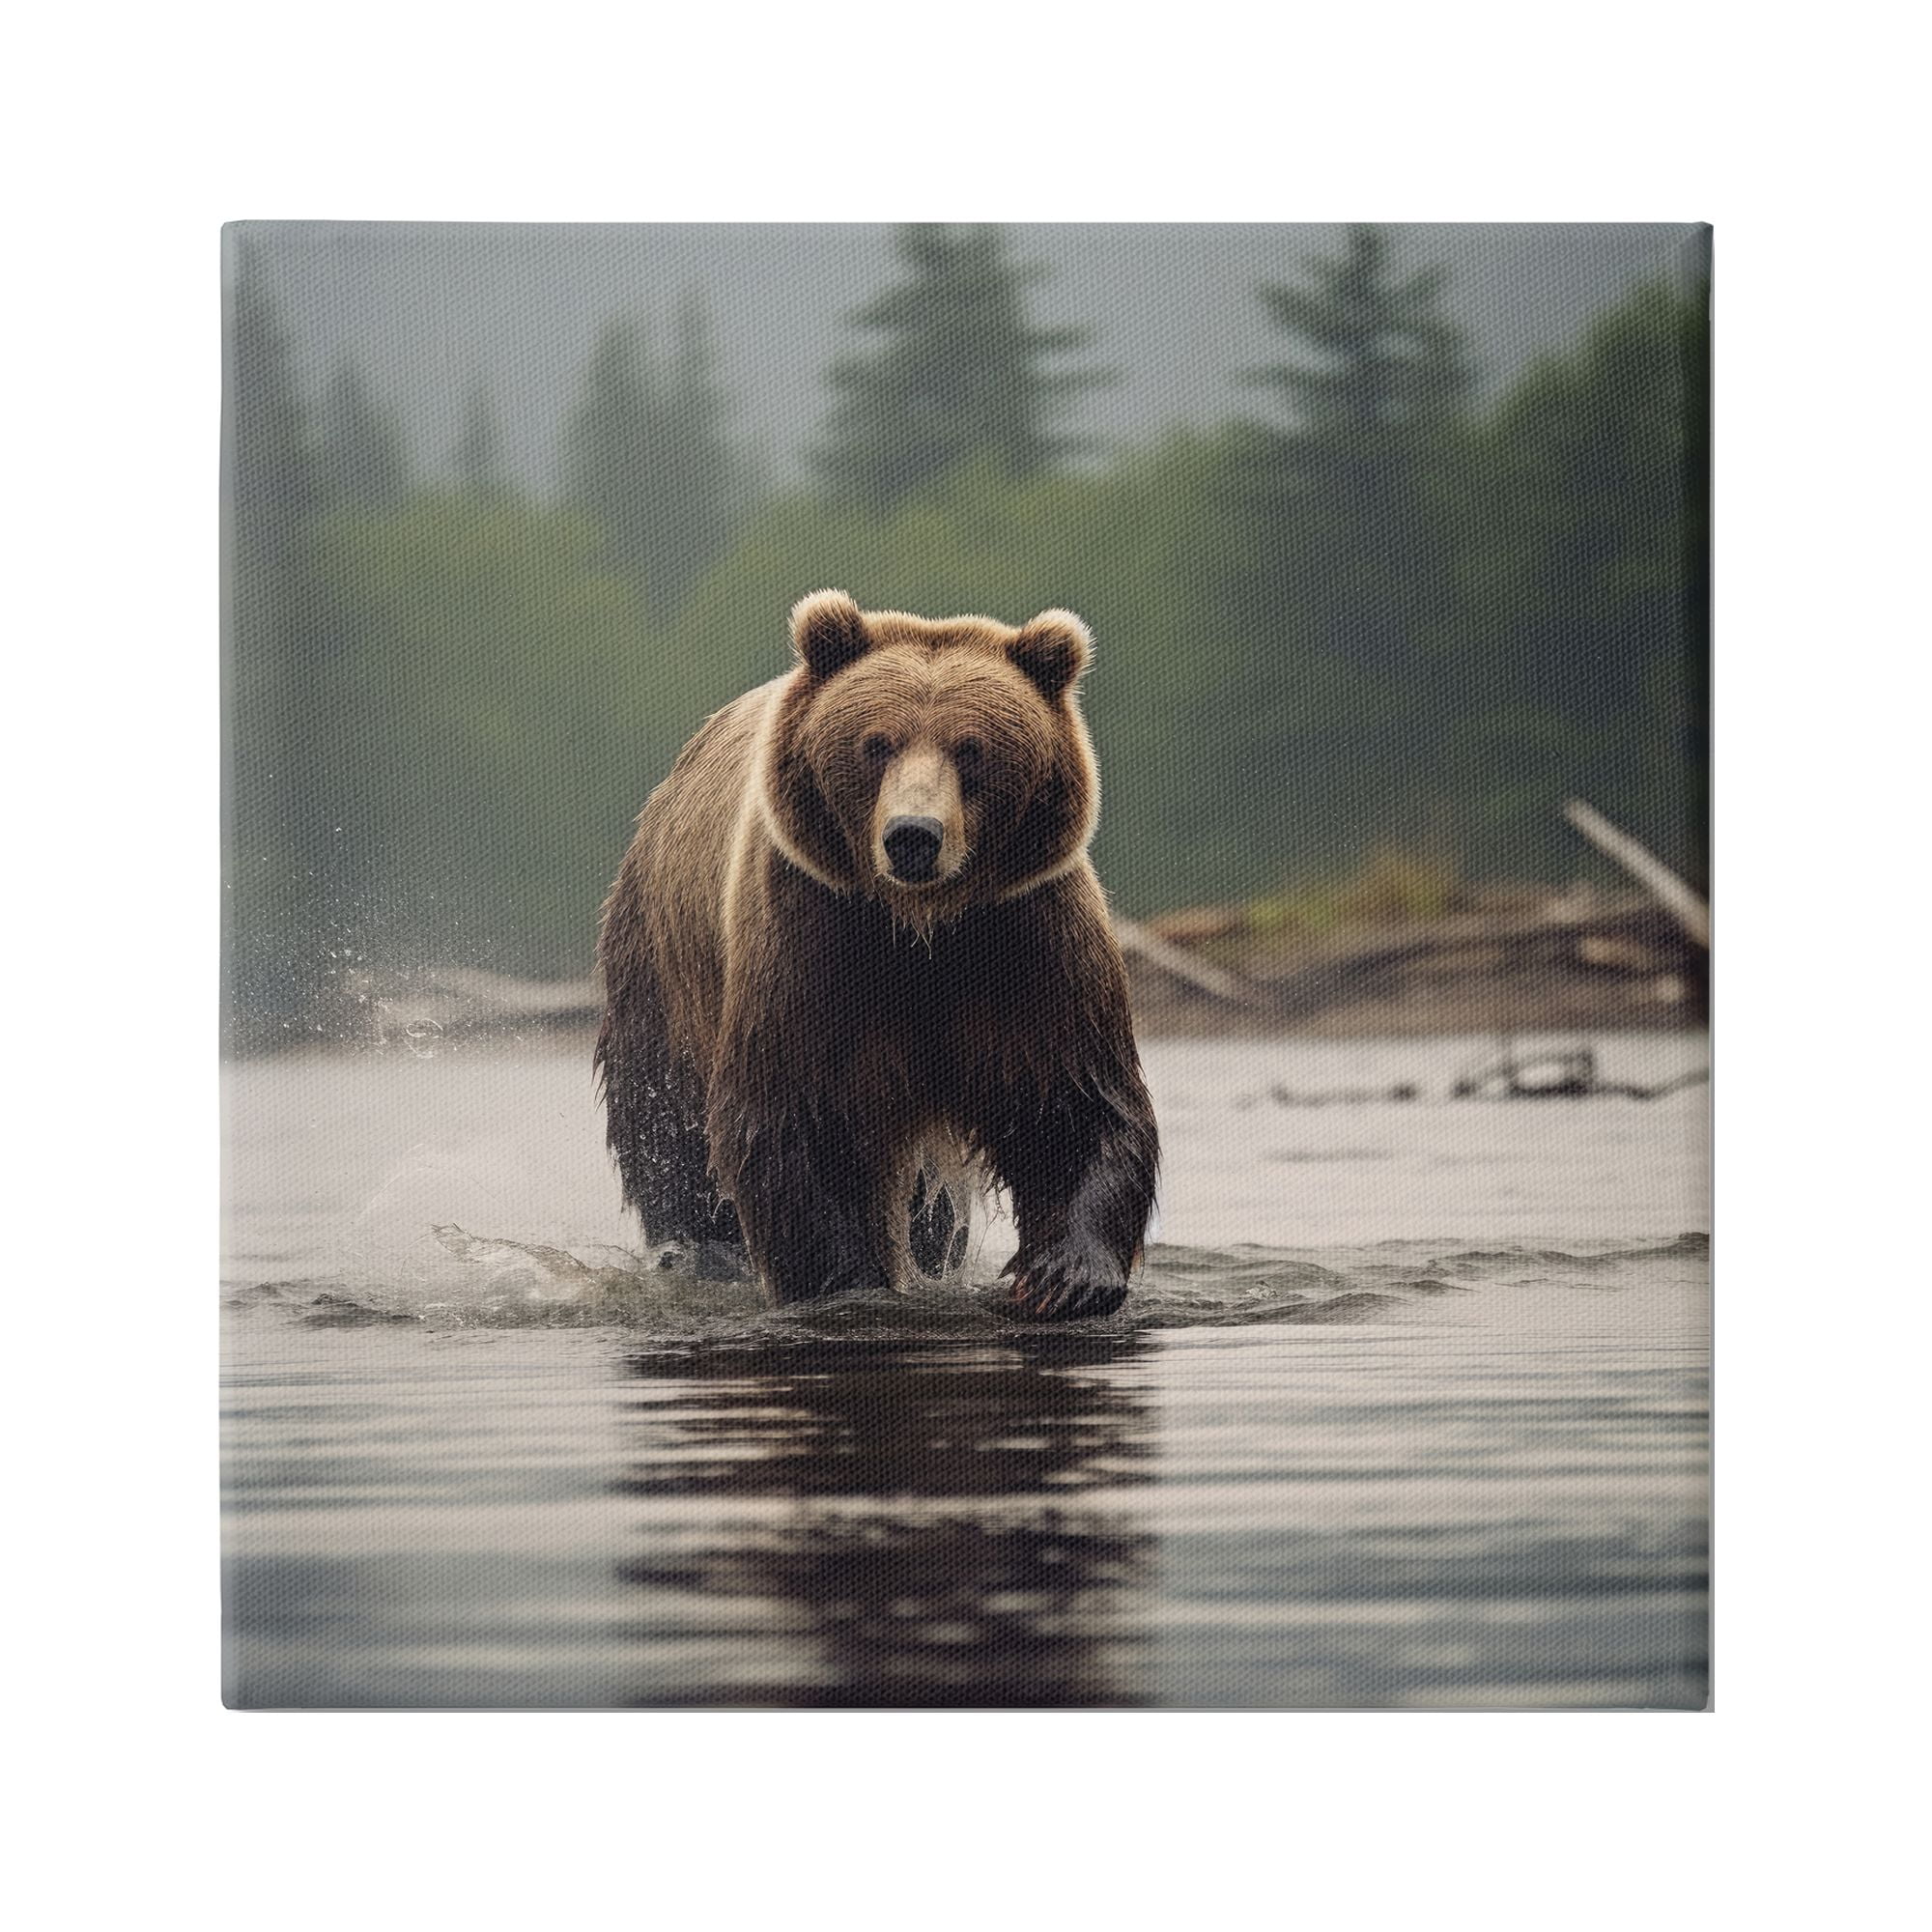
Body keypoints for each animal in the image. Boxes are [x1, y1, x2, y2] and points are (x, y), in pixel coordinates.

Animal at [595, 590, 1159, 1321]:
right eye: (876, 744)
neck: (920, 928)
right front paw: (851, 1282)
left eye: (972, 749)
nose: (912, 835)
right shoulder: (815, 936)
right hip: (663, 976)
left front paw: (1066, 1275)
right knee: (668, 1131)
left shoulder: (1026, 935)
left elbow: (1072, 1100)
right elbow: (802, 1119)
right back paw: (702, 1250)